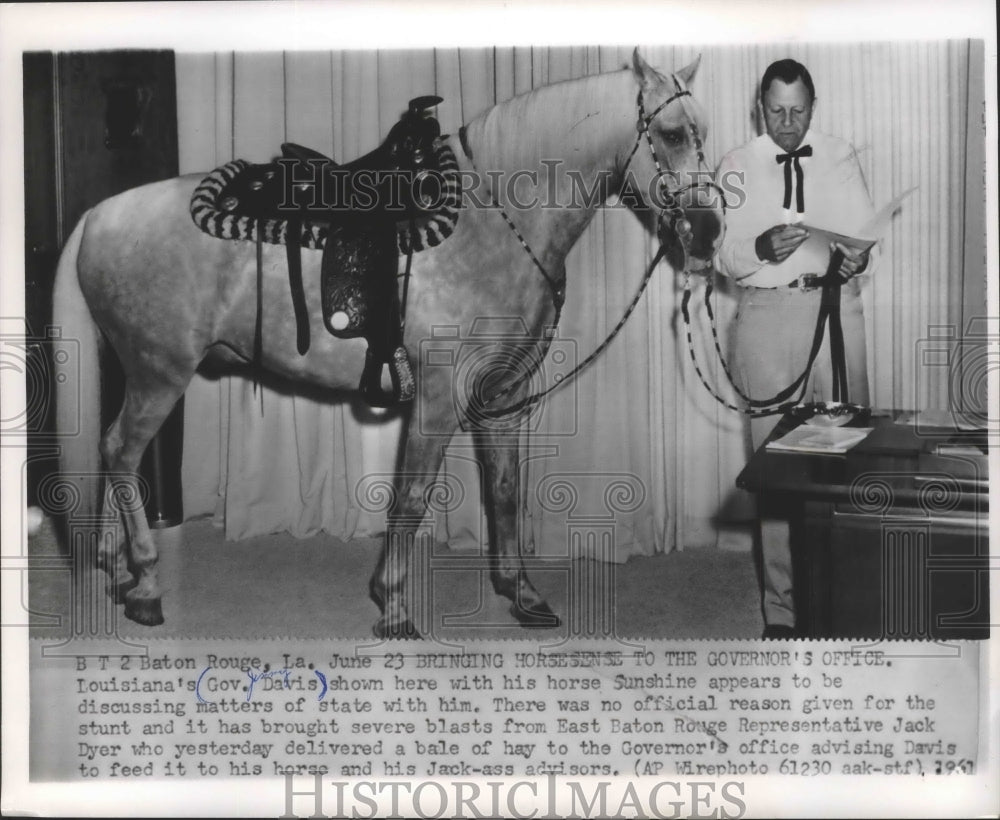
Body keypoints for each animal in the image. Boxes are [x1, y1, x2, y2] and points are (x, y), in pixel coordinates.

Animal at [50, 48, 724, 640]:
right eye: (669, 134)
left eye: (703, 132)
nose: (709, 230)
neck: (498, 222)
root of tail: (100, 214)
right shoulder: (437, 399)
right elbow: (412, 496)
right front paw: (395, 606)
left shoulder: (503, 397)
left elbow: (504, 492)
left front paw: (521, 595)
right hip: (160, 374)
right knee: (120, 451)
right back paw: (145, 585)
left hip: (136, 371)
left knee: (112, 451)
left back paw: (115, 568)